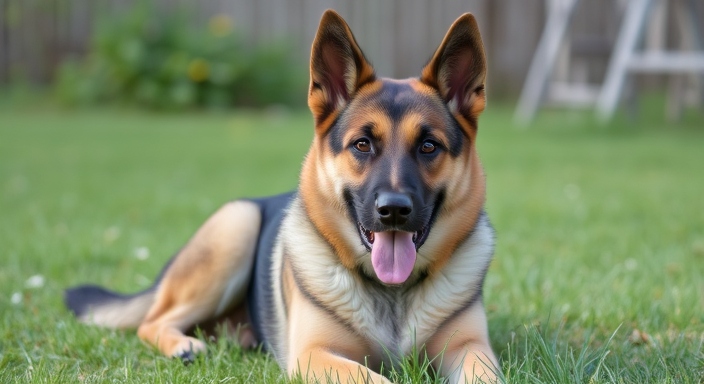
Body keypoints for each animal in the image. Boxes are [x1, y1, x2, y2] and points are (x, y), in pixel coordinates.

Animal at [64, 9, 496, 384]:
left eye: (428, 146)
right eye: (362, 144)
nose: (393, 211)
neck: (392, 293)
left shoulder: (472, 349)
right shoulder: (313, 355)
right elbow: (376, 378)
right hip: (234, 228)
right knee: (151, 321)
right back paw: (183, 345)